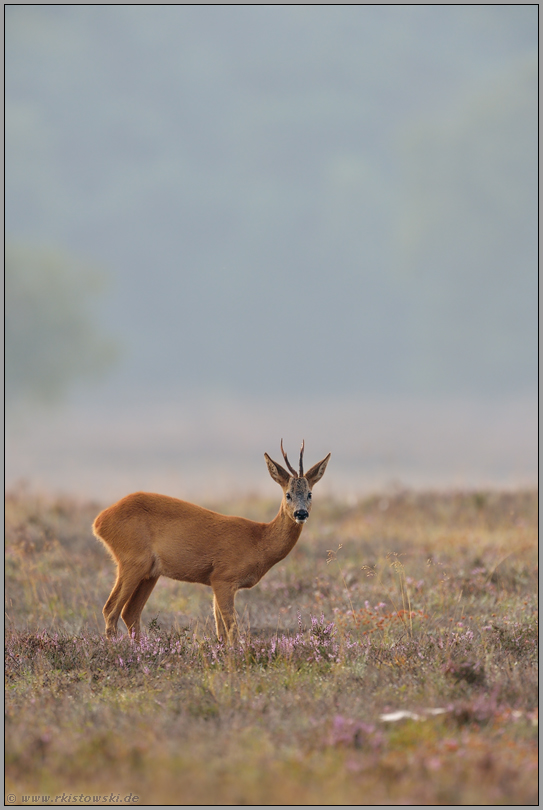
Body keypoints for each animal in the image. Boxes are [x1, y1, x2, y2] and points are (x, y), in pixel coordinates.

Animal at [93, 438, 332, 640]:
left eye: (310, 494)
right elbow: (232, 630)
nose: (301, 513)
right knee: (110, 610)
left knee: (130, 613)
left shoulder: (215, 581)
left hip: (150, 572)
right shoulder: (223, 577)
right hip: (132, 561)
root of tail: (99, 521)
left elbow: (221, 633)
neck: (258, 542)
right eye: (288, 494)